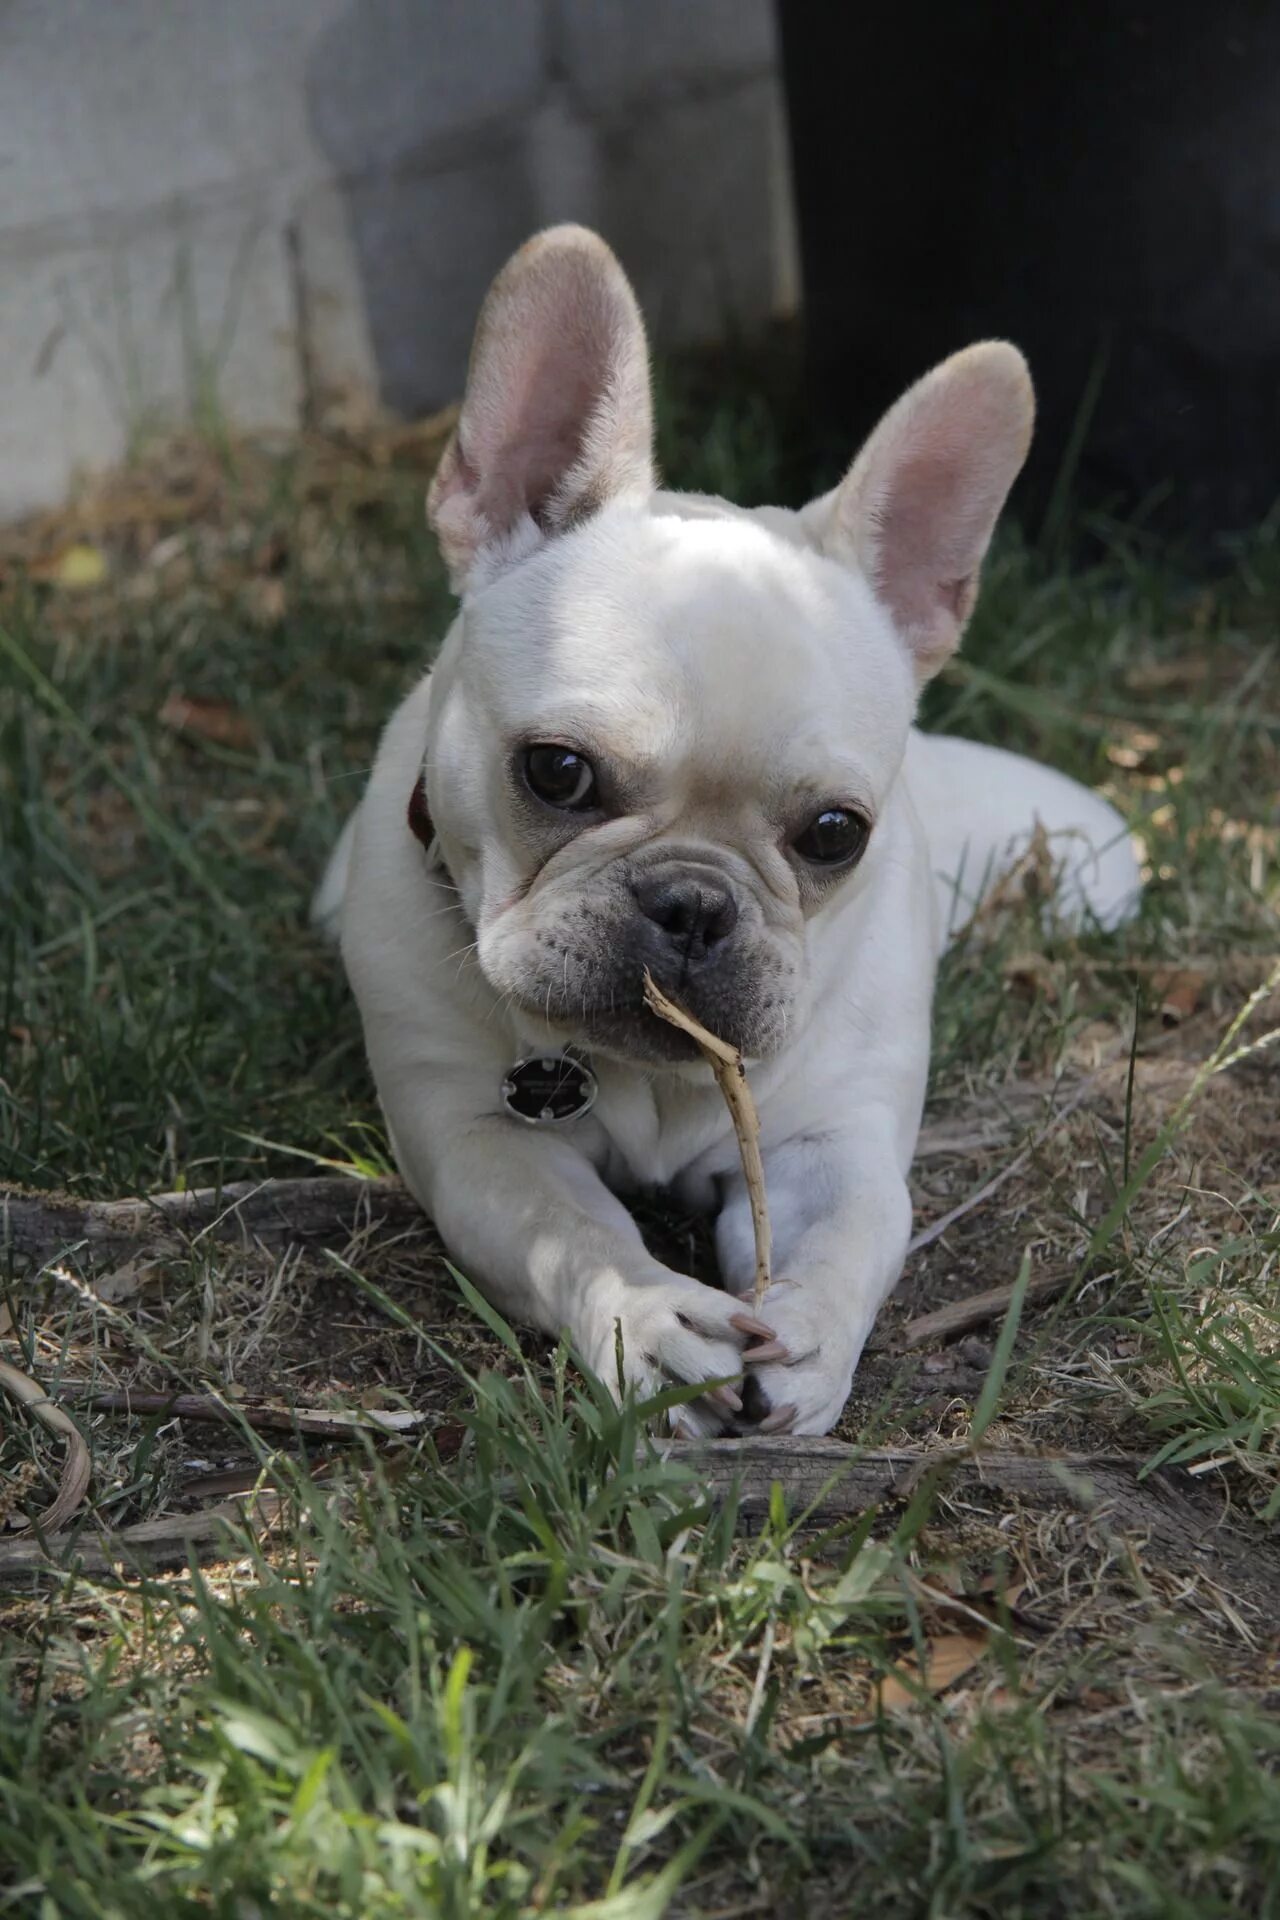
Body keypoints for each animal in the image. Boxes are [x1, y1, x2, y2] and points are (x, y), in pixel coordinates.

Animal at [312, 224, 1143, 1436]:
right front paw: (652, 1320)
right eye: (556, 772)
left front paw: (809, 1337)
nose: (694, 902)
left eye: (835, 834)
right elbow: (572, 1232)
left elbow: (848, 1234)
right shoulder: (473, 1138)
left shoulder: (829, 1142)